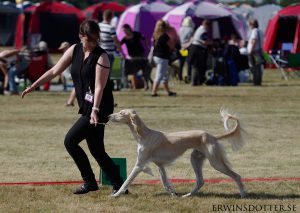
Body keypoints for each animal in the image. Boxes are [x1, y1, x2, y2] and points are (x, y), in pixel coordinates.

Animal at [108, 108, 246, 198]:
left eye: (121, 113)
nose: (108, 116)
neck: (144, 135)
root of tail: (212, 136)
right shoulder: (160, 165)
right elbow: (165, 183)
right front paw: (173, 193)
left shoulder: (139, 165)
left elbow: (126, 181)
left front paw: (116, 195)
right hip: (195, 159)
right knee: (200, 181)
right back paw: (187, 195)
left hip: (215, 162)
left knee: (237, 176)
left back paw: (243, 195)